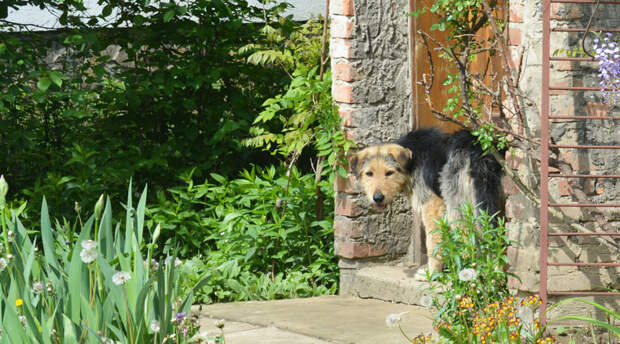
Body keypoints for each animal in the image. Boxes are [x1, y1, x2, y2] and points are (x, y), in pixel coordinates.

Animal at [348, 127, 504, 276]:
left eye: (389, 173)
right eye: (369, 174)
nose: (378, 198)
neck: (412, 161)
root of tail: (476, 151)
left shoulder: (432, 206)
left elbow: (433, 242)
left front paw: (433, 273)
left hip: (457, 207)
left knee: (469, 240)